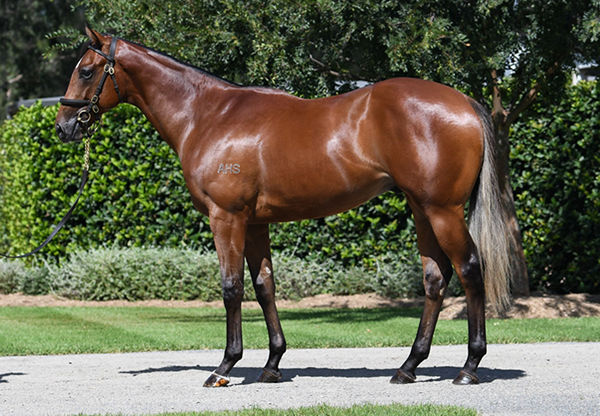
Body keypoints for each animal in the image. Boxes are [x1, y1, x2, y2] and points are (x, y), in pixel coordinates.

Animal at [56, 28, 512, 386]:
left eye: (86, 70)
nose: (63, 127)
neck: (208, 115)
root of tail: (465, 103)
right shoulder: (255, 223)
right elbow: (264, 287)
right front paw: (273, 363)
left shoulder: (227, 218)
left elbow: (231, 287)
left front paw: (225, 366)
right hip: (421, 209)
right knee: (436, 279)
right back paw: (408, 366)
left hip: (442, 210)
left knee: (471, 270)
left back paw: (469, 366)